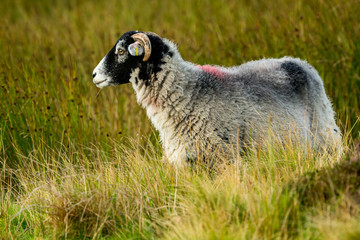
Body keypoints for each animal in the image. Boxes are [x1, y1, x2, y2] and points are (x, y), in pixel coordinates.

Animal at [92, 31, 340, 166]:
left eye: (121, 51)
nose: (94, 75)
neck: (189, 93)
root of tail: (298, 62)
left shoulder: (223, 157)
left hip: (326, 137)